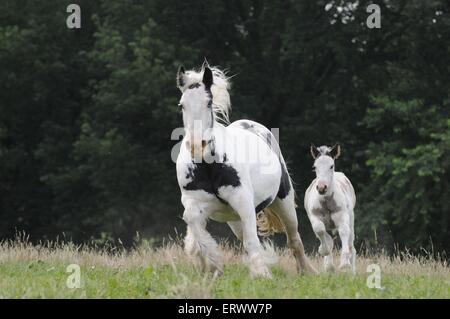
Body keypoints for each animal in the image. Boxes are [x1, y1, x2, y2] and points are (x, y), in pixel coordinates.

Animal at [174, 62, 314, 278]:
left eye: (209, 102)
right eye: (182, 105)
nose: (198, 146)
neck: (209, 167)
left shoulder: (243, 202)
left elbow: (251, 240)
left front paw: (262, 274)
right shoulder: (194, 205)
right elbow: (198, 234)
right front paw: (212, 266)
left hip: (284, 202)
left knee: (294, 239)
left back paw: (307, 271)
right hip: (234, 219)